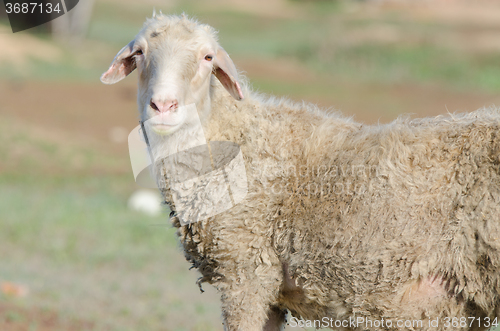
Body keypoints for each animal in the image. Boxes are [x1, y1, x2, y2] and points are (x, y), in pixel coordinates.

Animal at [99, 13, 500, 331]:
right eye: (139, 54)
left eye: (207, 57)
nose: (163, 105)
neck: (235, 137)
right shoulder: (271, 290)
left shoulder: (246, 271)